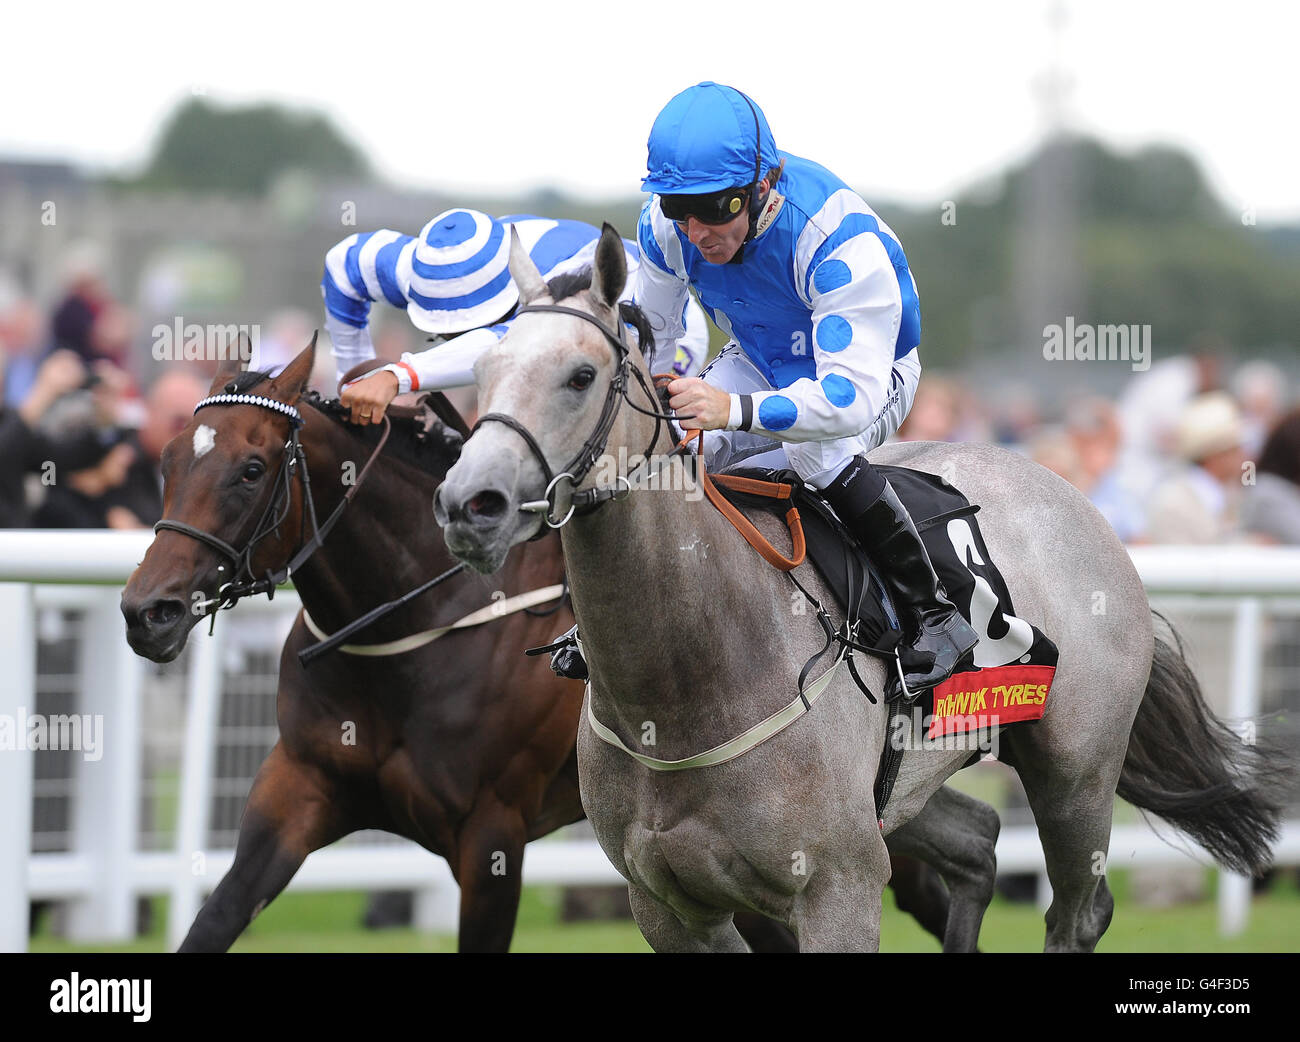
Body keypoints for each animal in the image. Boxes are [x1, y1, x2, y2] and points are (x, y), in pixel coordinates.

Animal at [434, 227, 1279, 951]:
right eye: (481, 374)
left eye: (580, 376)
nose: (469, 504)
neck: (685, 685)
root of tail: (1076, 499)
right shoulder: (668, 905)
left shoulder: (837, 889)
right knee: (978, 842)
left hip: (1077, 769)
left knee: (1077, 913)